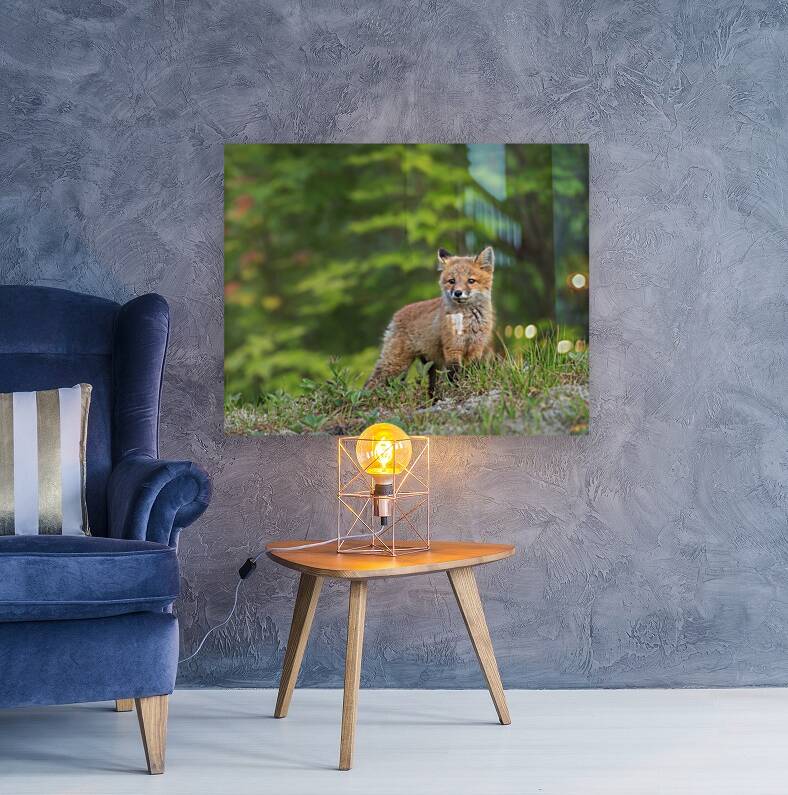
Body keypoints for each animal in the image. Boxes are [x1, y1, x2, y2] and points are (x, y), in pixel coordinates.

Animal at [365, 246, 495, 395]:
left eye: (471, 281)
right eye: (452, 281)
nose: (458, 293)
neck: (467, 322)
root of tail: (397, 314)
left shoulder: (476, 347)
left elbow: (472, 369)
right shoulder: (452, 348)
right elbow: (454, 374)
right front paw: (457, 389)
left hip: (431, 364)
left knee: (432, 386)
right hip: (396, 364)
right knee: (372, 381)